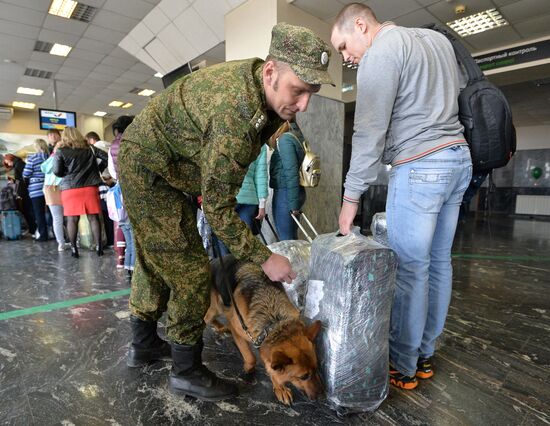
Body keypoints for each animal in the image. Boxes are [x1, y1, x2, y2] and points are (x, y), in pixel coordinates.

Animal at [206, 262, 326, 404]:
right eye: (303, 376)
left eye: (317, 368)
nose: (323, 397)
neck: (275, 323)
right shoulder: (238, 328)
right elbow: (251, 358)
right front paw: (250, 370)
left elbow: (271, 367)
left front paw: (279, 387)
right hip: (217, 307)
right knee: (206, 318)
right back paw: (221, 327)